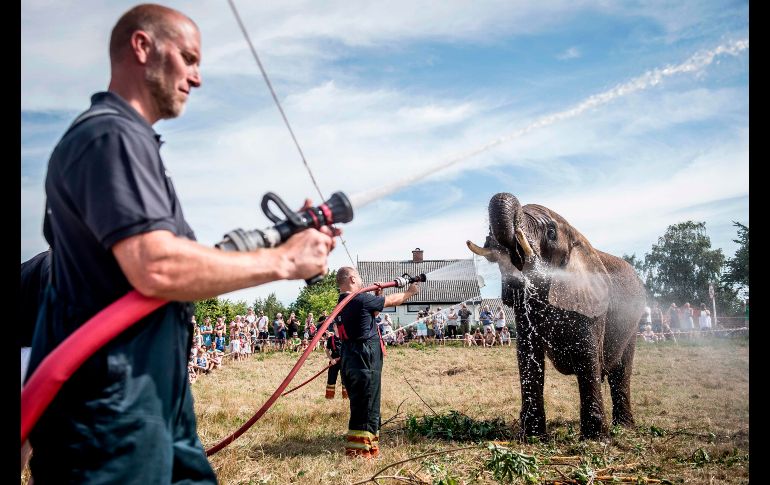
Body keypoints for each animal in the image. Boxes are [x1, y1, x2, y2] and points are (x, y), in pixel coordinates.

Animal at [464, 192, 644, 438]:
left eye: (550, 232)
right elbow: (528, 357)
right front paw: (532, 436)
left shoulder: (591, 305)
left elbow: (587, 357)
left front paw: (595, 438)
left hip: (633, 322)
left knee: (621, 373)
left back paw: (623, 427)